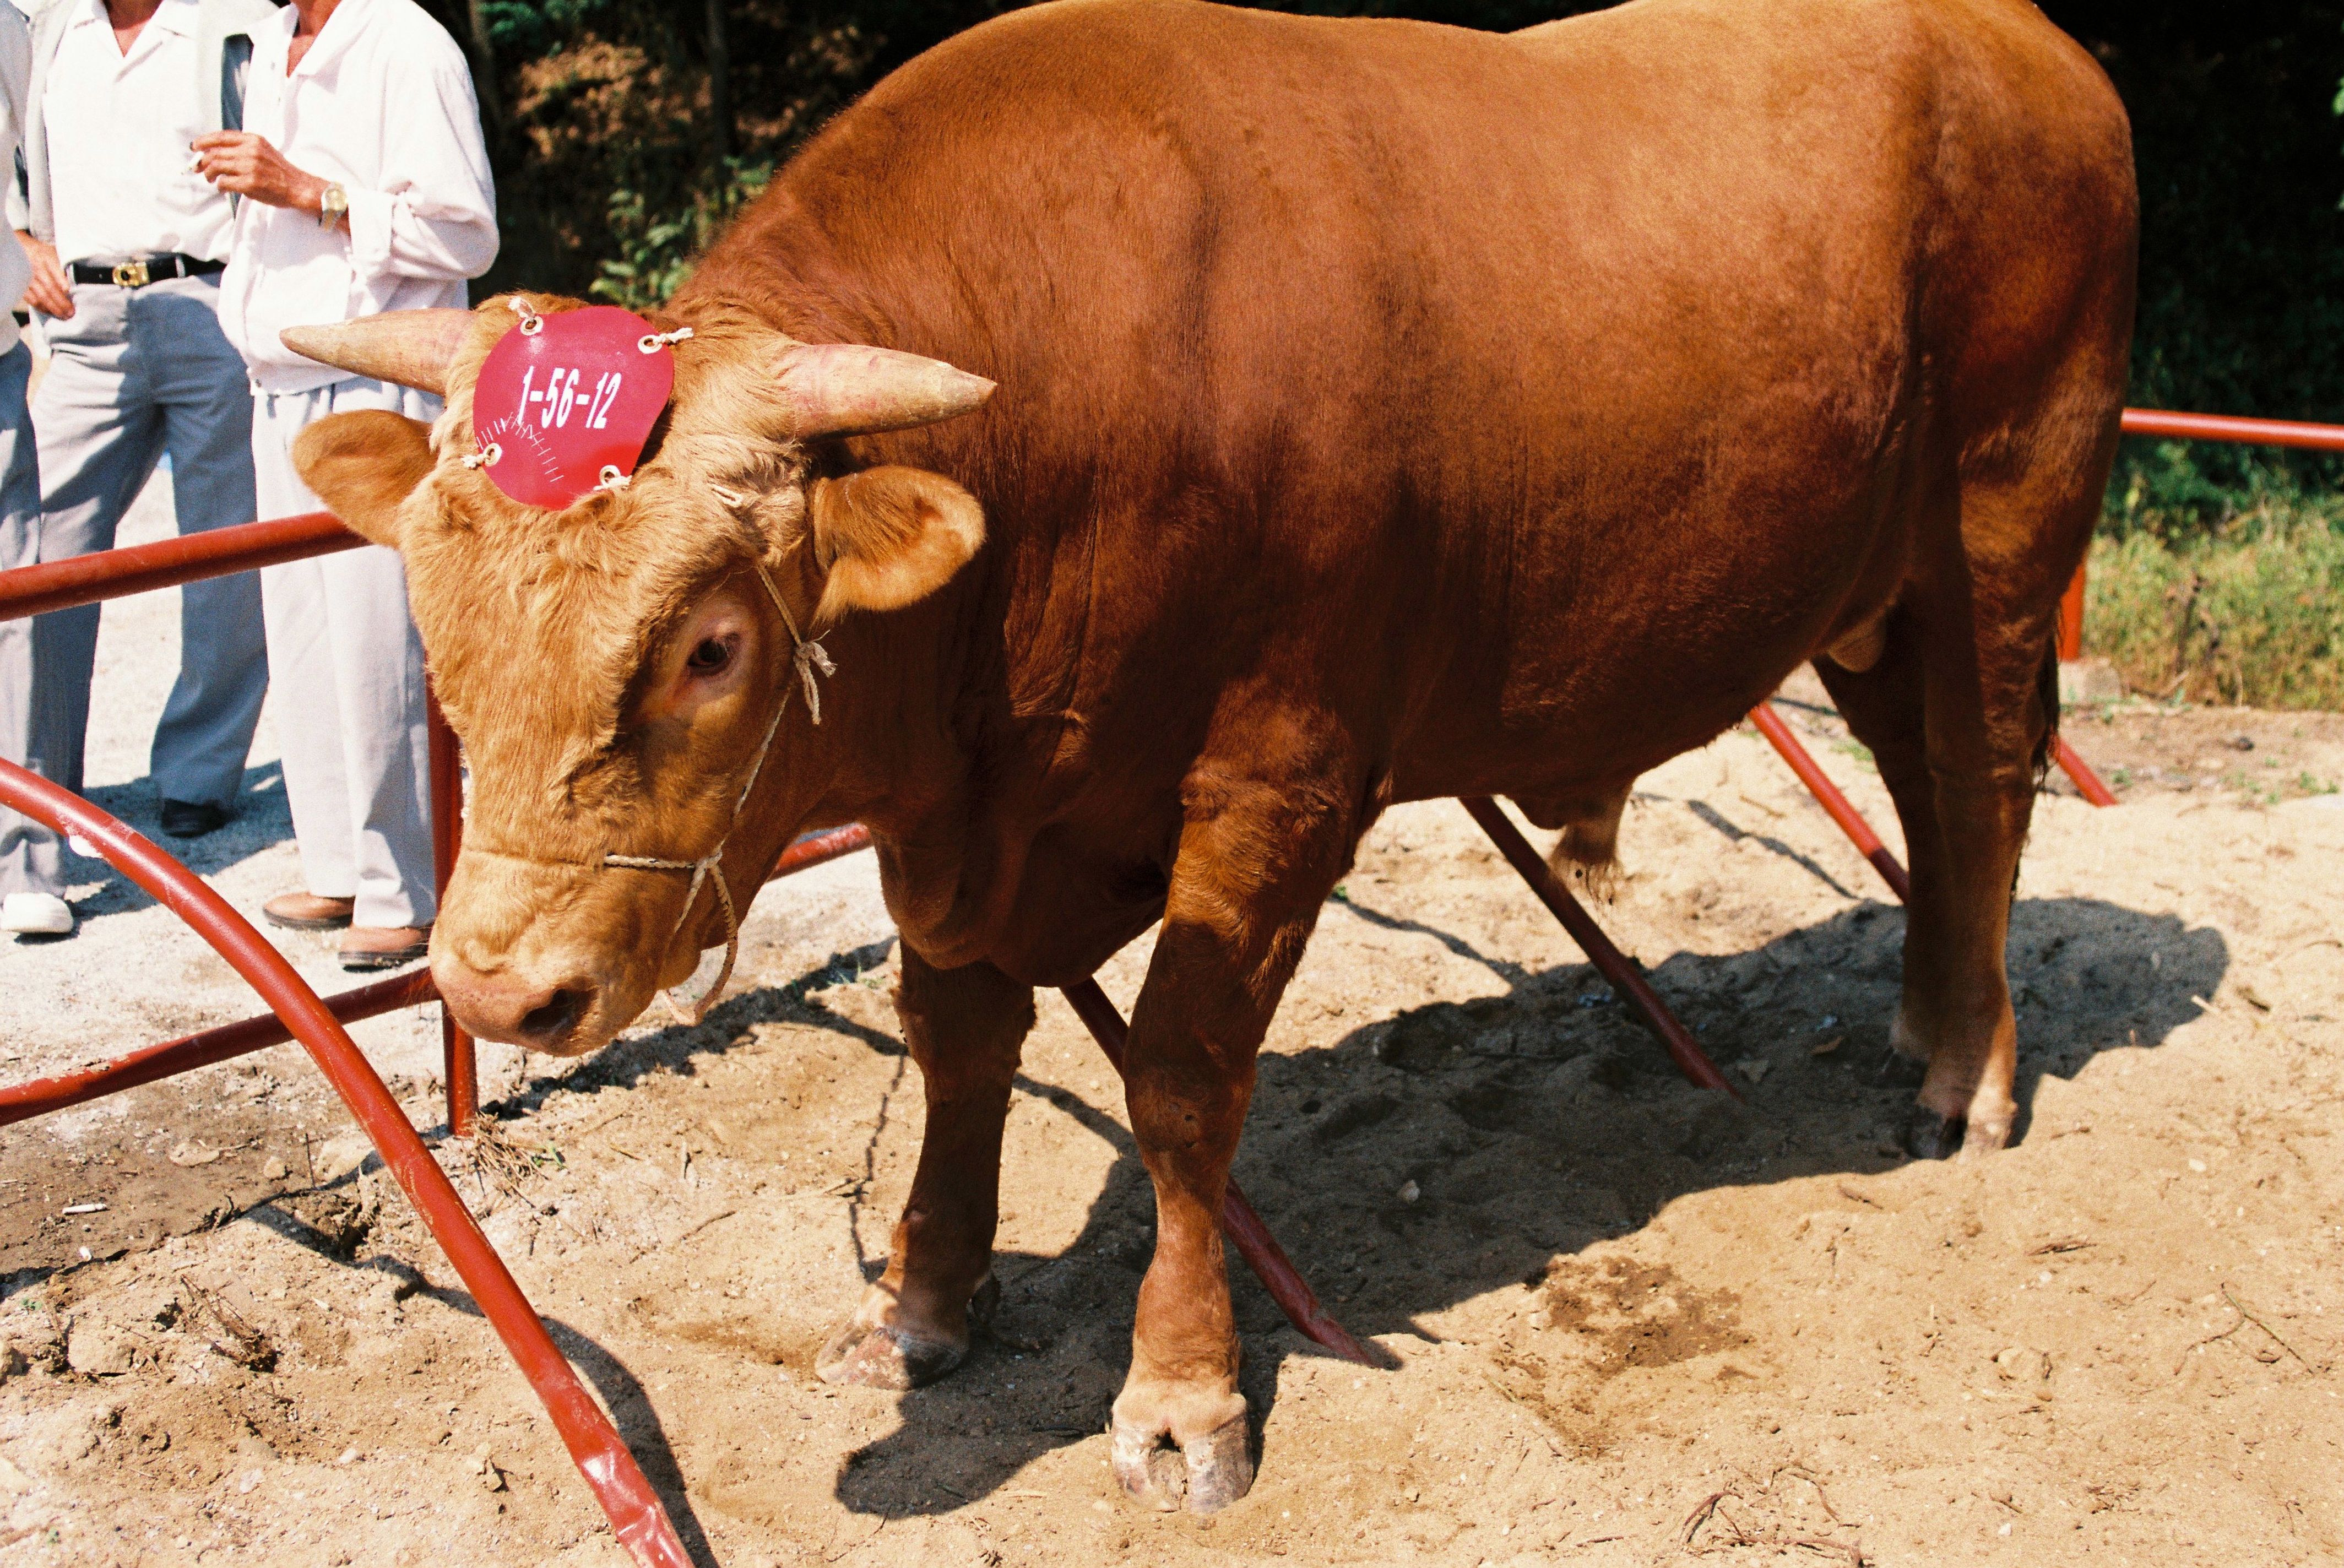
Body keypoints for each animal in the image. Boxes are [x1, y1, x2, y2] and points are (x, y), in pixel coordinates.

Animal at [281, 0, 2135, 1513]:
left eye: (713, 643)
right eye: (431, 601)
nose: (497, 984)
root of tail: (2026, 45)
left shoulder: (1275, 779)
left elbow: (1179, 1077)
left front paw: (1180, 1393)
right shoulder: (962, 824)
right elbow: (958, 1038)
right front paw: (924, 1301)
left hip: (2004, 513)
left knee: (1981, 776)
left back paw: (1971, 1078)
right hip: (1869, 585)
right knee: (1920, 784)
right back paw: (1923, 1023)